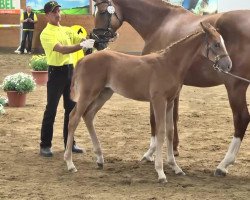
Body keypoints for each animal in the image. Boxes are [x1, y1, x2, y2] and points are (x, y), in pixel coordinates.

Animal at [63, 23, 231, 183]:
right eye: (216, 44)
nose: (228, 65)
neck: (170, 64)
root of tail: (82, 60)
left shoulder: (170, 102)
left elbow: (170, 132)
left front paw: (175, 167)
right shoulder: (158, 100)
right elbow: (161, 132)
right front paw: (161, 172)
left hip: (104, 93)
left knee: (88, 116)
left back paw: (99, 159)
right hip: (88, 93)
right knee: (73, 118)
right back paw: (70, 164)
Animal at [93, 0, 250, 176]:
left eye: (102, 11)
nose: (96, 41)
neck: (160, 23)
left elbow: (154, 119)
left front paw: (151, 153)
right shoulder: (173, 88)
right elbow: (173, 119)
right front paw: (173, 150)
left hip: (235, 87)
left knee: (242, 118)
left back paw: (224, 164)